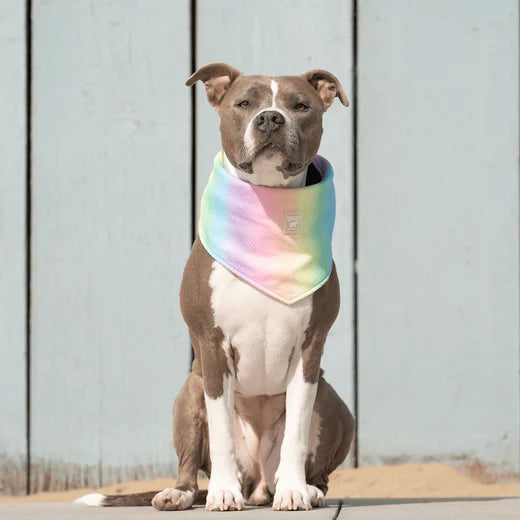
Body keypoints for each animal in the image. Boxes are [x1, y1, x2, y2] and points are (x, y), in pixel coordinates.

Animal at [75, 62, 356, 512]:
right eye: (243, 103)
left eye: (300, 106)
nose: (271, 118)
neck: (266, 218)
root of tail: (257, 483)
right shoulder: (211, 346)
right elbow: (221, 431)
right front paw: (223, 492)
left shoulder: (310, 348)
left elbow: (296, 433)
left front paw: (295, 491)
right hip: (189, 392)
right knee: (190, 468)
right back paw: (181, 493)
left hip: (334, 403)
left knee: (317, 470)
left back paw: (305, 488)